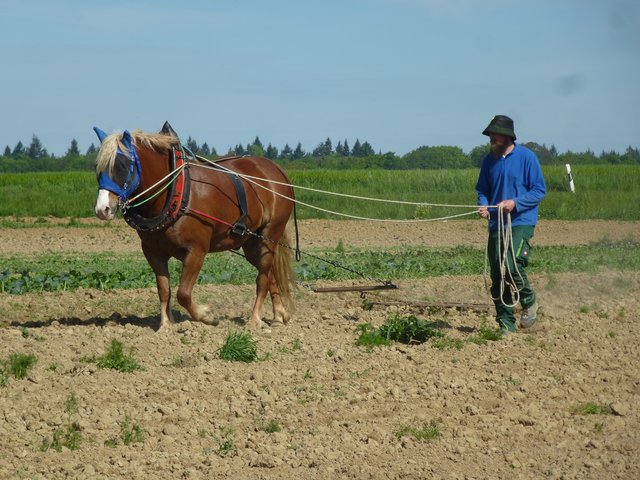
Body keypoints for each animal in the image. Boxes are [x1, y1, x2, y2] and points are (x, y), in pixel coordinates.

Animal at [92, 122, 296, 332]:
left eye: (122, 165)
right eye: (97, 167)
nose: (102, 209)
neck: (175, 191)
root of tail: (277, 170)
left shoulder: (196, 251)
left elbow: (183, 293)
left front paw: (207, 316)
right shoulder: (153, 252)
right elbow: (164, 289)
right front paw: (165, 326)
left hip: (270, 234)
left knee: (262, 277)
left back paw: (254, 320)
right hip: (251, 242)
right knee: (270, 273)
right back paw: (278, 316)